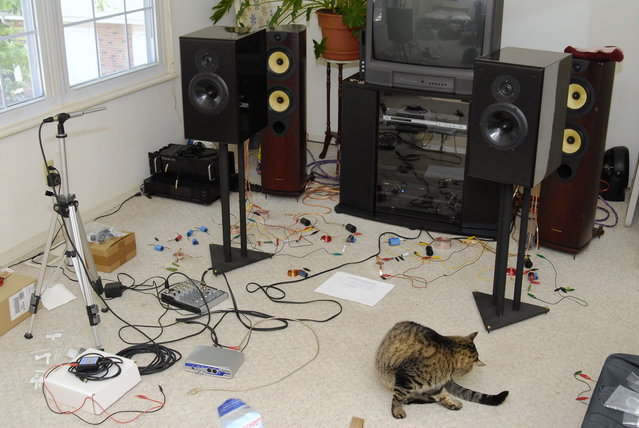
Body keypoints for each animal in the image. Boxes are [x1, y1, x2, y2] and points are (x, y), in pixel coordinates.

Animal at [376, 320, 510, 418]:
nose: (469, 371)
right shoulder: (406, 378)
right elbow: (397, 398)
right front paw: (397, 411)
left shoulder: (434, 385)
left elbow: (442, 395)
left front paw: (452, 403)